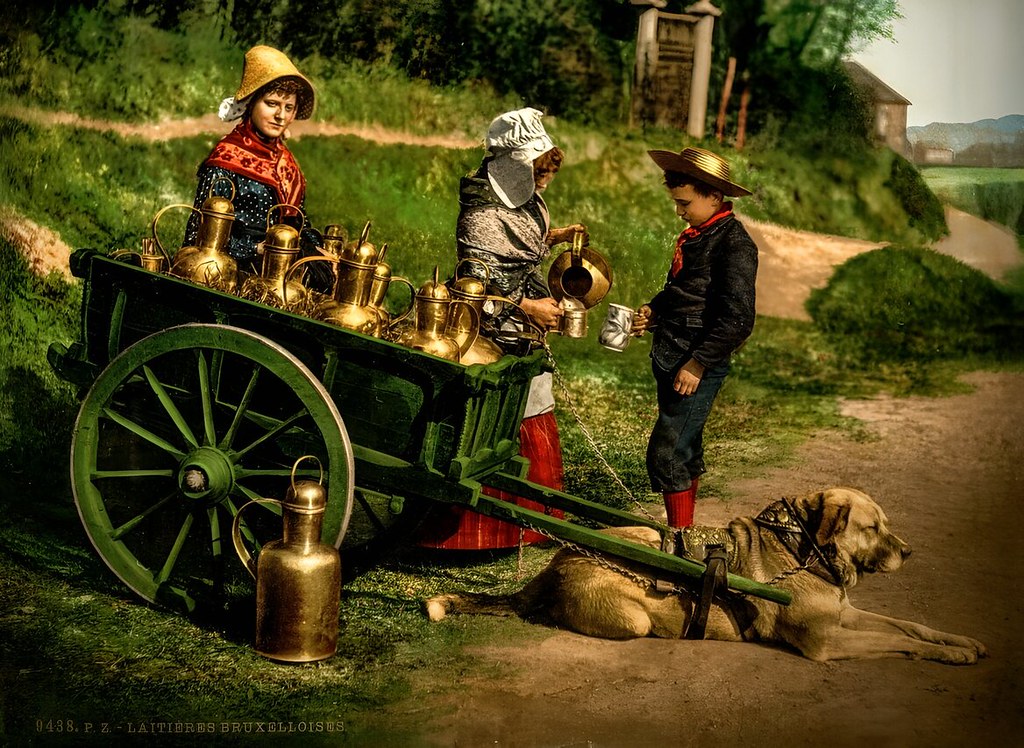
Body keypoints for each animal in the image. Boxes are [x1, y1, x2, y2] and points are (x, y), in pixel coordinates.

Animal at [423, 489, 983, 663]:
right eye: (872, 527)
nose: (909, 551)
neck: (802, 549)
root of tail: (557, 562)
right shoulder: (827, 644)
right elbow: (901, 641)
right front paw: (950, 655)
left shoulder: (847, 616)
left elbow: (910, 627)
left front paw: (960, 641)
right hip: (633, 613)